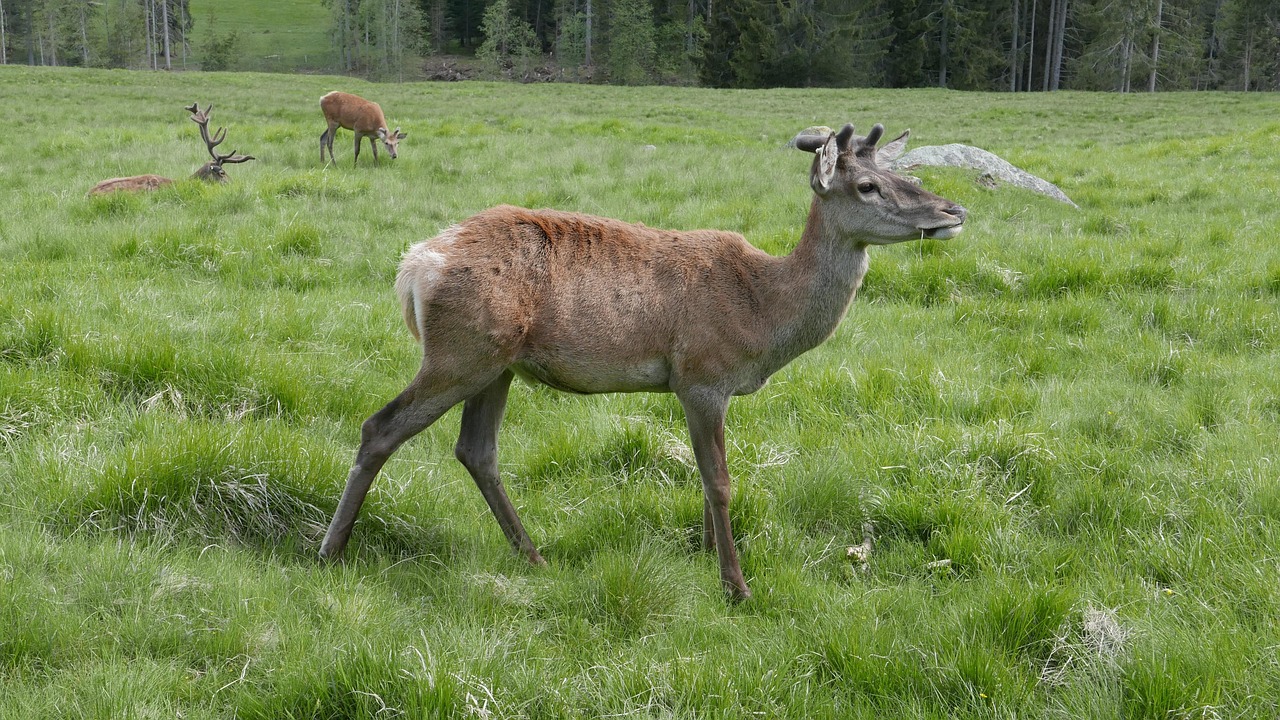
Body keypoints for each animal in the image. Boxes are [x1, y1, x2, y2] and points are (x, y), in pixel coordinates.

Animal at [318, 122, 967, 601]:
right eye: (867, 187)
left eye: (902, 173)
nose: (954, 210)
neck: (763, 318)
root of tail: (412, 267)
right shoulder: (700, 374)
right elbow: (720, 481)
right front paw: (736, 586)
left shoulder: (710, 388)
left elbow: (708, 482)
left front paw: (705, 556)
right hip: (460, 352)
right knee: (379, 427)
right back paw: (330, 550)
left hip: (495, 364)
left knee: (475, 450)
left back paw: (533, 554)